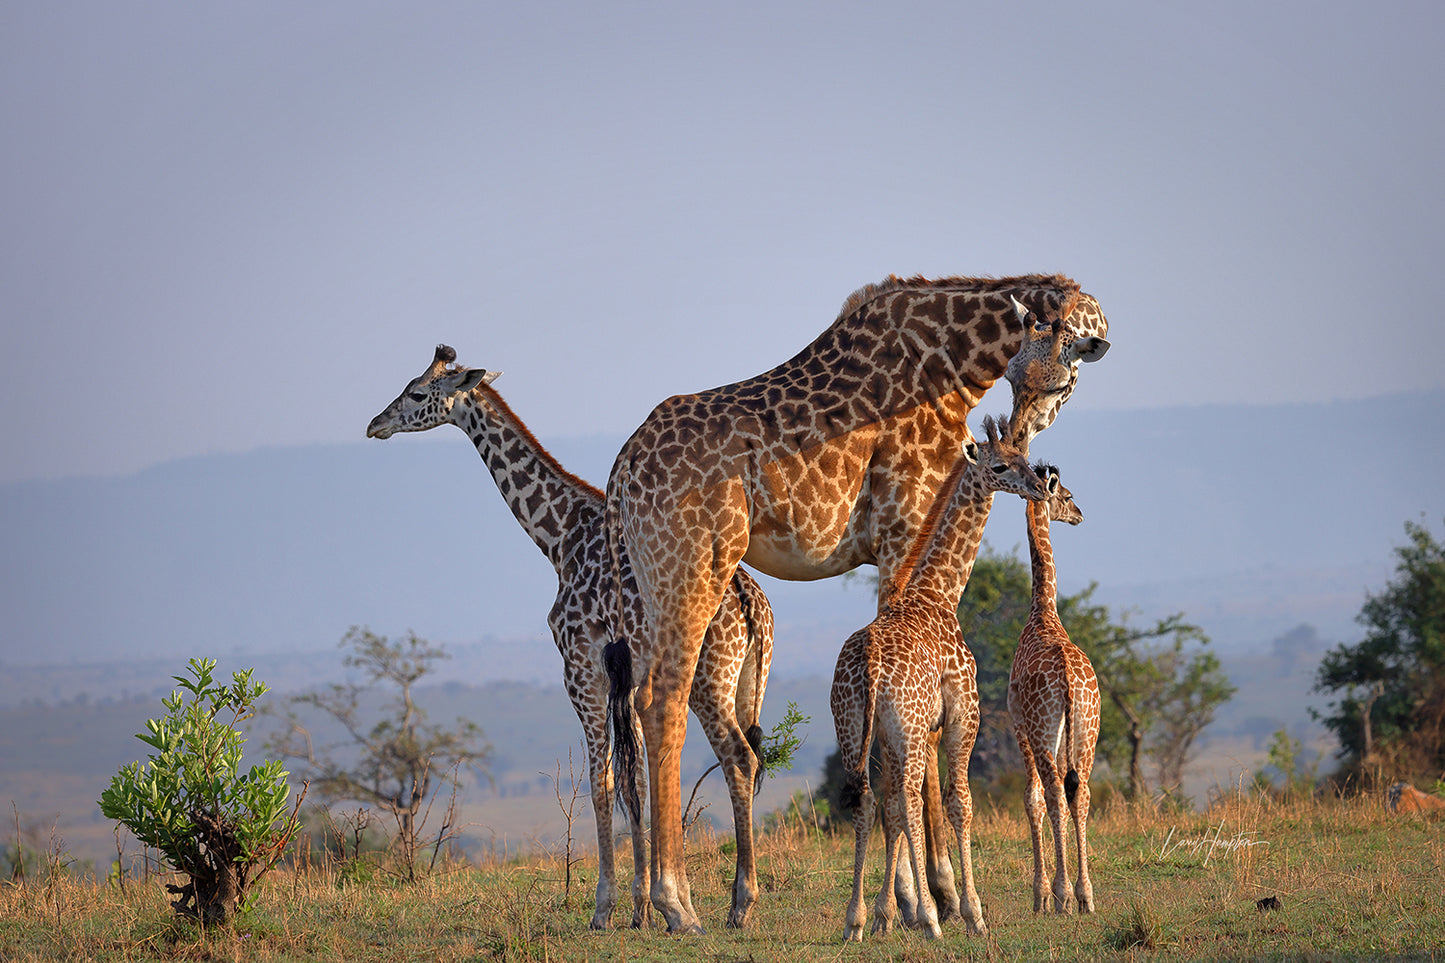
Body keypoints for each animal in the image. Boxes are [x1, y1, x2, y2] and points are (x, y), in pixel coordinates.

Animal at [366, 345, 775, 930]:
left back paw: (740, 903)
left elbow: (603, 782)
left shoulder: (579, 666)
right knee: (749, 757)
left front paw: (607, 908)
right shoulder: (623, 673)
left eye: (418, 392)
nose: (375, 424)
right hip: (745, 681)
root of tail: (751, 602)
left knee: (738, 758)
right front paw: (641, 908)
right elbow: (636, 779)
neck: (557, 537)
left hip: (707, 679)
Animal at [832, 415, 1046, 940]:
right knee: (911, 800)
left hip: (852, 728)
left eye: (1025, 456)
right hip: (909, 731)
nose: (1037, 486)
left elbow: (889, 811)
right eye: (999, 465)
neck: (939, 594)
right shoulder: (963, 717)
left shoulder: (886, 735)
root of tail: (870, 661)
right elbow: (958, 804)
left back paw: (854, 920)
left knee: (868, 802)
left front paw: (883, 915)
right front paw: (973, 914)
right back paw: (932, 919)